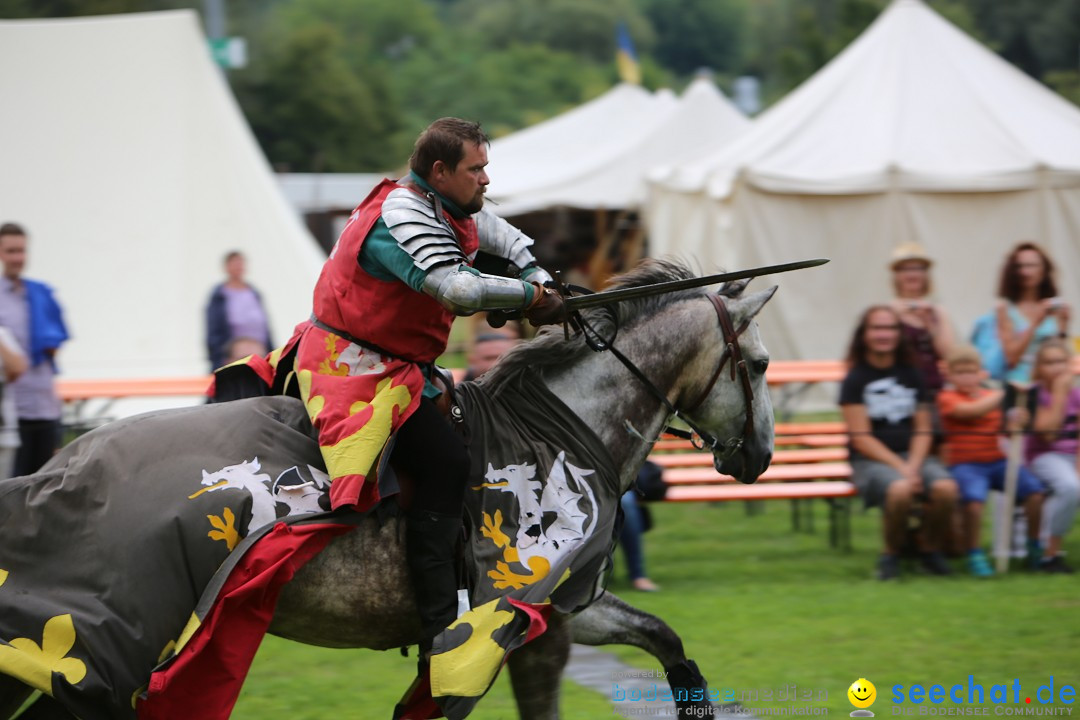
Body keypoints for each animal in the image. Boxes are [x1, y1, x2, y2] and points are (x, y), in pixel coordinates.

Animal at [0, 262, 777, 720]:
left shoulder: (568, 610)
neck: (561, 431)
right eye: (763, 363)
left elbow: (667, 641)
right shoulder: (524, 627)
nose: (761, 456)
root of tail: (56, 472)